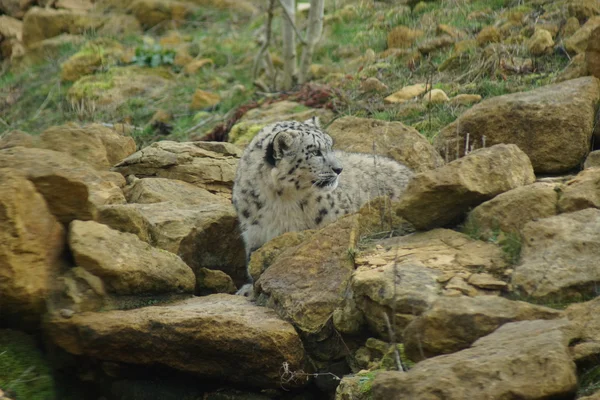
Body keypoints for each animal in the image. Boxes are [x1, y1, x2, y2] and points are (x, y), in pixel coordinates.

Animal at [232, 117, 414, 296]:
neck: (281, 201)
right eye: (315, 152)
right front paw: (247, 289)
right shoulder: (255, 234)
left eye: (330, 147)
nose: (339, 169)